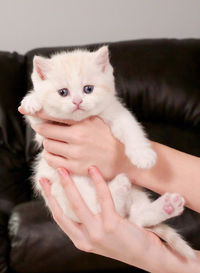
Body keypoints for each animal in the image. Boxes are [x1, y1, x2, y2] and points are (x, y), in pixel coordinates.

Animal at [21, 45, 195, 258]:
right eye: (63, 92)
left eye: (88, 89)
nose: (77, 101)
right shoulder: (43, 132)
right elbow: (38, 119)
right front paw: (32, 100)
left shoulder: (117, 113)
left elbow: (130, 129)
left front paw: (142, 155)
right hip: (66, 188)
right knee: (99, 209)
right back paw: (120, 187)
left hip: (133, 192)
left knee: (133, 218)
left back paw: (164, 205)